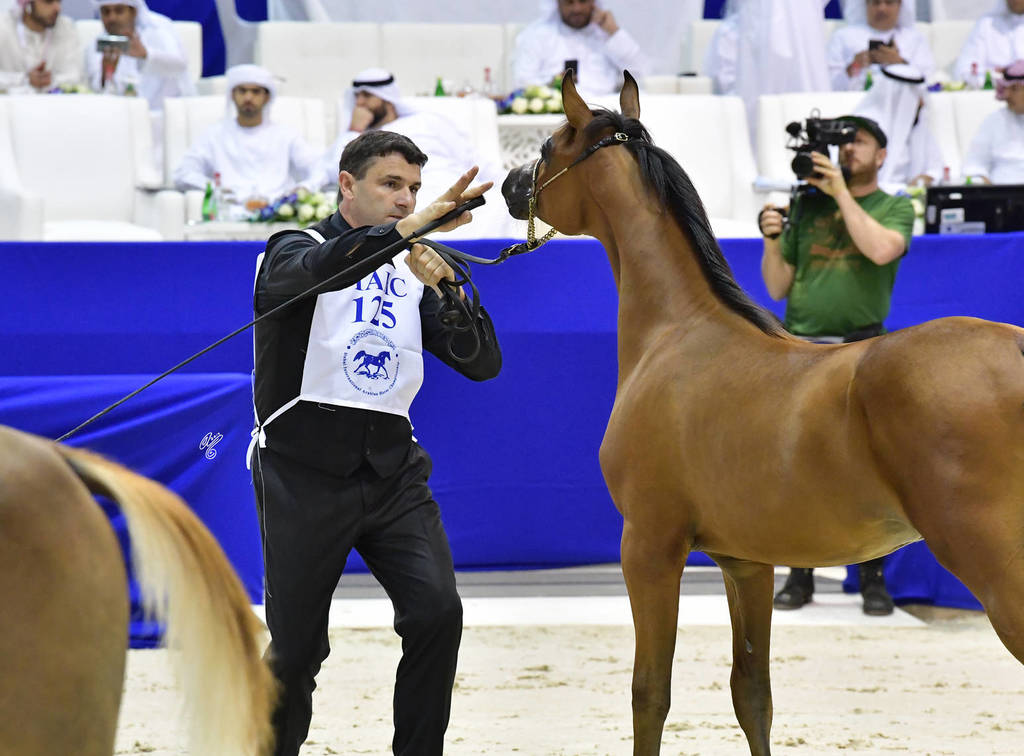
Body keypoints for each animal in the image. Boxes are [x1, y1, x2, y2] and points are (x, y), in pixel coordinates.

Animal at [501, 71, 1024, 755]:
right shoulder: (746, 563)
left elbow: (650, 694)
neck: (678, 333)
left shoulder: (648, 547)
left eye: (549, 144)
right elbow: (753, 696)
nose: (510, 187)